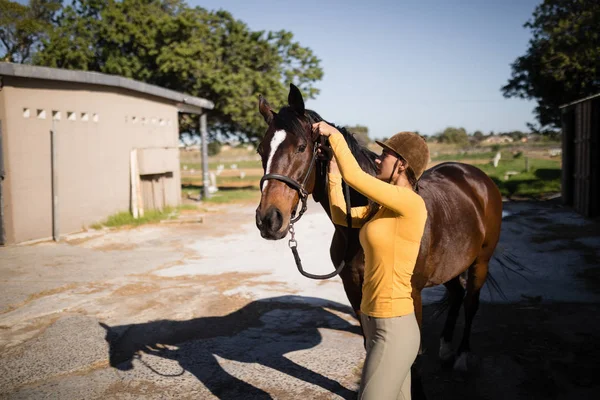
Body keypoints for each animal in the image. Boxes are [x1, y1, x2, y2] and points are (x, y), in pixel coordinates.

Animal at [255, 84, 504, 378]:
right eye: (261, 150)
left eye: (302, 147)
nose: (268, 219)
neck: (359, 226)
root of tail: (475, 176)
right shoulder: (353, 289)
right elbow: (369, 344)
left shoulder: (412, 294)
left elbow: (413, 355)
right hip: (451, 265)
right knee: (456, 295)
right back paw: (445, 350)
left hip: (480, 262)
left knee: (471, 302)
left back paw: (463, 356)